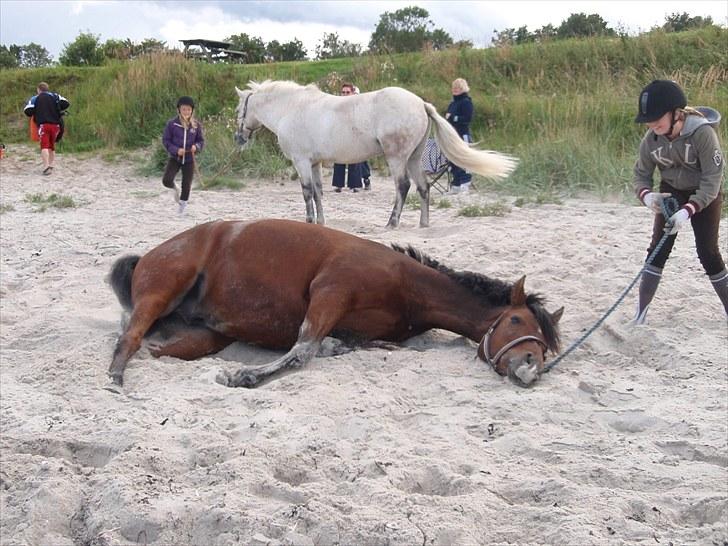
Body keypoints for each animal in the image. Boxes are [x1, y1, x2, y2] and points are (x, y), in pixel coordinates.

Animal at [108, 217, 564, 386]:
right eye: (517, 322)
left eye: (544, 343)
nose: (531, 366)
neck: (407, 286)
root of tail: (147, 256)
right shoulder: (331, 291)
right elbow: (302, 350)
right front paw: (246, 376)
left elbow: (342, 345)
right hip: (163, 288)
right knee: (128, 337)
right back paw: (115, 376)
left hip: (203, 336)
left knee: (153, 347)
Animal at [235, 79, 516, 226]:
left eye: (239, 110)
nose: (238, 138)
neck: (292, 108)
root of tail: (420, 103)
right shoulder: (314, 164)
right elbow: (317, 192)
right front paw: (321, 222)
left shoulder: (302, 162)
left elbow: (306, 193)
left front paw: (309, 221)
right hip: (414, 158)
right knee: (423, 187)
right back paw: (423, 223)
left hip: (397, 158)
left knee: (403, 186)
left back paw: (392, 222)